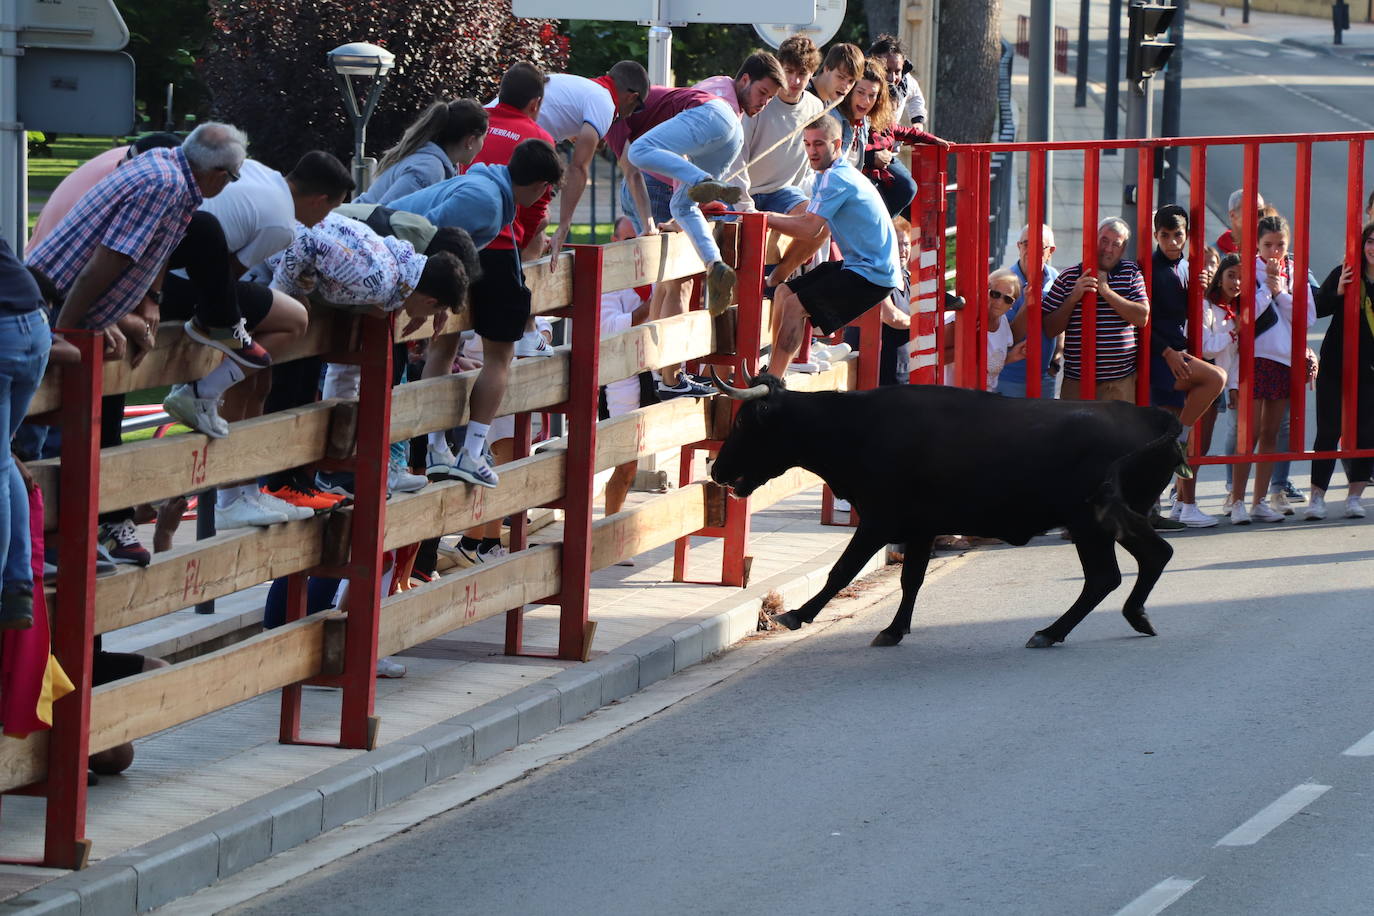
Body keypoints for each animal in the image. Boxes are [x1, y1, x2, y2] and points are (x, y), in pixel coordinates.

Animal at [708, 373, 1181, 650]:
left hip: (1094, 522)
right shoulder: (920, 527)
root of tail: (1153, 417)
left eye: (743, 422)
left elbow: (842, 571)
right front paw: (894, 629)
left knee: (1113, 573)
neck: (856, 427)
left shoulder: (879, 521)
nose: (716, 469)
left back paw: (1052, 630)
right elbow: (911, 579)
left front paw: (797, 614)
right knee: (1144, 560)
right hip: (1112, 519)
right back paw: (1126, 618)